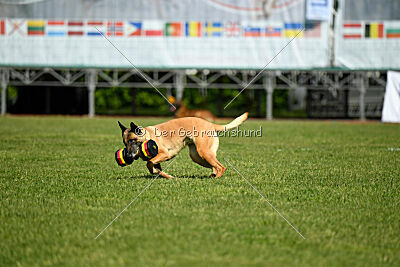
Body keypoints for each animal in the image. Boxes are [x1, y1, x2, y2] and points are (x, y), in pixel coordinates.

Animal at [117, 112, 247, 179]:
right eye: (125, 143)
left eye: (133, 140)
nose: (128, 156)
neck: (148, 136)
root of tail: (210, 123)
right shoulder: (157, 161)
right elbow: (155, 169)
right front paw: (168, 176)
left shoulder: (165, 154)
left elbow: (149, 163)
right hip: (197, 156)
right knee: (214, 166)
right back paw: (213, 175)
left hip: (204, 152)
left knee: (221, 167)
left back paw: (216, 178)